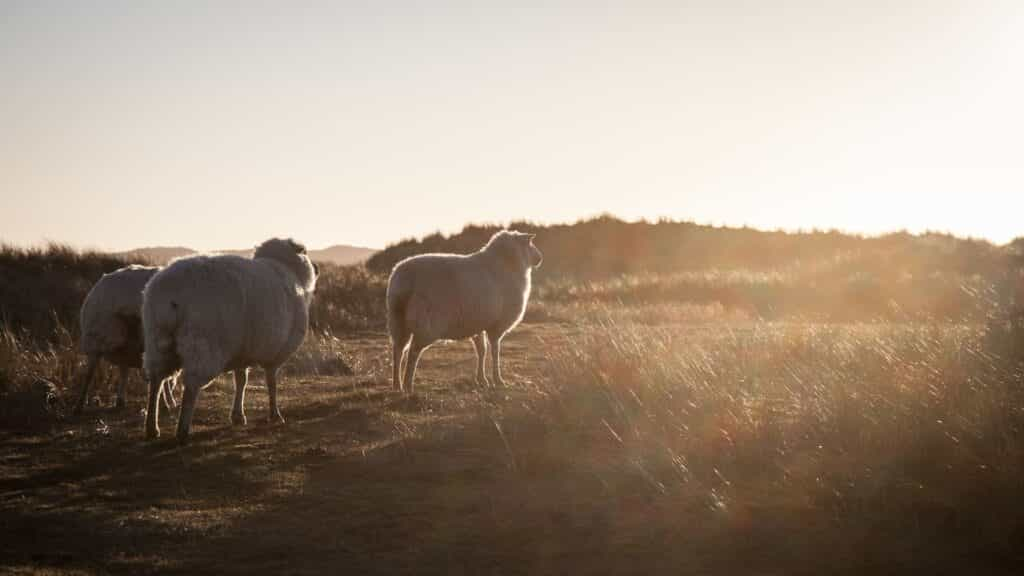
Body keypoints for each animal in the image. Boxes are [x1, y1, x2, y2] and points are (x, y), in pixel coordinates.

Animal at [76, 264, 177, 412]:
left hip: (126, 345)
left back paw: (120, 401)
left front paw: (169, 403)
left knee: (123, 369)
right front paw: (168, 404)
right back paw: (79, 405)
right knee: (89, 373)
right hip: (98, 338)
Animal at [140, 235, 315, 440]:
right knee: (190, 386)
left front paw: (238, 416)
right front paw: (275, 415)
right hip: (203, 344)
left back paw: (152, 427)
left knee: (156, 381)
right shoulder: (274, 353)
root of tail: (170, 295)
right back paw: (182, 430)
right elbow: (271, 382)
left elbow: (241, 381)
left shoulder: (242, 351)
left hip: (157, 340)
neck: (288, 268)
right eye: (305, 251)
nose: (317, 268)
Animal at [385, 228, 544, 389]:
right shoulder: (496, 325)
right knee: (413, 352)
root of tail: (404, 279)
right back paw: (408, 385)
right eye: (530, 243)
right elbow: (495, 351)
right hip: (426, 324)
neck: (508, 263)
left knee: (398, 351)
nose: (540, 258)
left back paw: (397, 384)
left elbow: (482, 350)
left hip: (398, 320)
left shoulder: (478, 323)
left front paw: (482, 379)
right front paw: (498, 380)